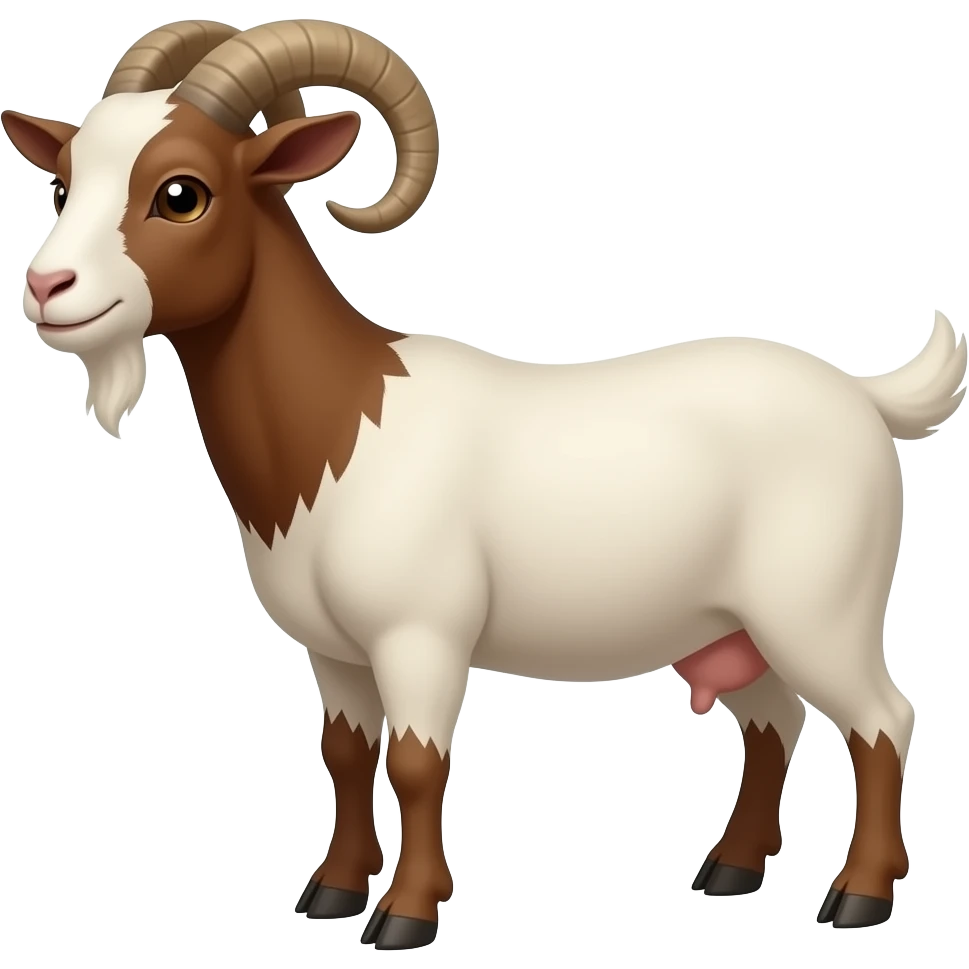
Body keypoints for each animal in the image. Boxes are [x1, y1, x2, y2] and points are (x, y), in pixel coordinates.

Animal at [3, 18, 965, 949]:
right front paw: (331, 891)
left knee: (882, 718)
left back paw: (858, 895)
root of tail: (862, 396)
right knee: (773, 720)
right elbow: (344, 755)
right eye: (63, 184)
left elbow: (417, 763)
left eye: (181, 193)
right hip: (731, 624)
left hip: (819, 608)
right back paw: (729, 867)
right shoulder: (334, 650)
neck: (345, 421)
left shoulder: (419, 633)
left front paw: (405, 913)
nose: (47, 287)